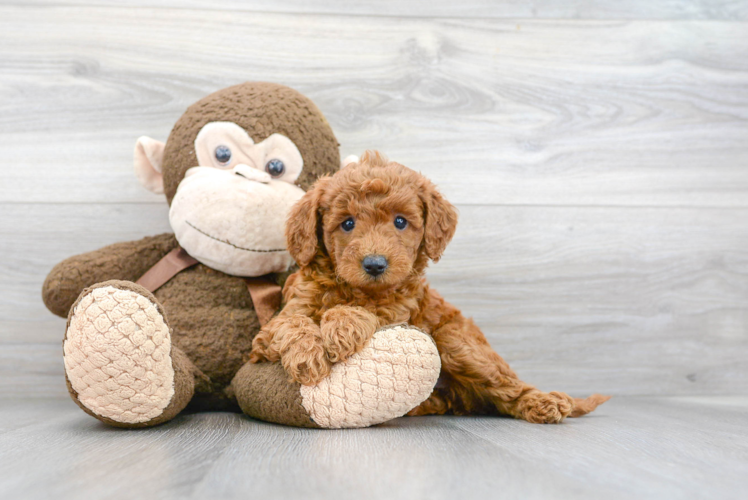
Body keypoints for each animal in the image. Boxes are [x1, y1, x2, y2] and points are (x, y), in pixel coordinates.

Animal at [251, 151, 608, 422]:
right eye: (347, 223)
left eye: (400, 221)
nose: (375, 264)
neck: (355, 289)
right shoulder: (271, 329)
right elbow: (293, 324)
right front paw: (307, 357)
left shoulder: (400, 313)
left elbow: (368, 314)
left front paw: (342, 326)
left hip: (457, 342)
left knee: (508, 386)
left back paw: (544, 402)